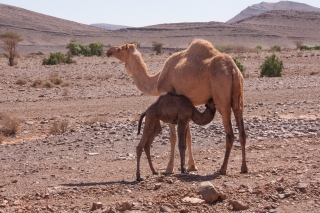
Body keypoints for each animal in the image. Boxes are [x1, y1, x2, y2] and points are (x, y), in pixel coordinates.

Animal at [106, 38, 249, 175]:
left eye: (119, 49)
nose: (108, 51)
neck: (157, 80)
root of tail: (232, 69)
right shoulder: (187, 106)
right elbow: (188, 136)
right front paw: (191, 166)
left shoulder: (170, 96)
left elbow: (173, 137)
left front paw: (170, 168)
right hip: (239, 96)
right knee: (242, 131)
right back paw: (244, 168)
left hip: (222, 99)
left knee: (230, 133)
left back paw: (222, 169)